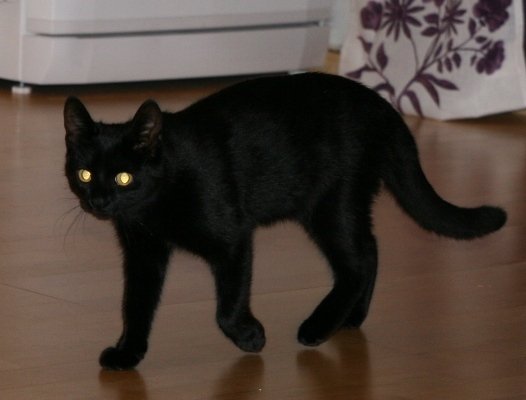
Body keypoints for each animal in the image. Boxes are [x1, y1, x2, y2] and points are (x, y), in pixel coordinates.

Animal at [64, 72, 506, 370]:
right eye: (84, 174)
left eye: (123, 177)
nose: (99, 202)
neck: (156, 200)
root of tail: (381, 104)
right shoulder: (143, 254)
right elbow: (135, 304)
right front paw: (128, 353)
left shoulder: (233, 240)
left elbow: (227, 307)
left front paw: (249, 337)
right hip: (340, 207)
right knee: (370, 251)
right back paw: (351, 319)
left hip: (331, 204)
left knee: (357, 262)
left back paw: (318, 326)